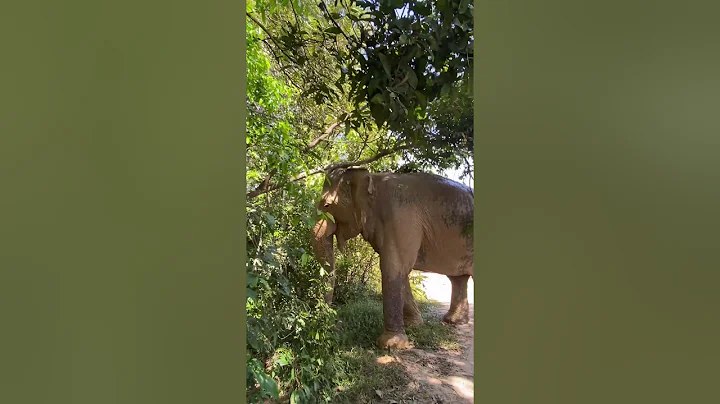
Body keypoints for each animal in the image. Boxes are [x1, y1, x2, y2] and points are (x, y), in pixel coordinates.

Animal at [310, 166, 474, 349]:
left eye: (327, 205)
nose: (336, 324)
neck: (373, 180)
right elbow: (401, 269)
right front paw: (414, 326)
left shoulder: (401, 218)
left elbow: (394, 266)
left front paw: (391, 344)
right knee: (458, 278)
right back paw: (453, 321)